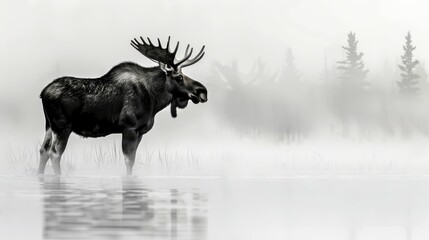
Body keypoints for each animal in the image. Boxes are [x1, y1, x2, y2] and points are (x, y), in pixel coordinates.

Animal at [38, 36, 207, 174]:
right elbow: (129, 161)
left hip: (48, 126)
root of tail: (42, 92)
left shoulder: (140, 131)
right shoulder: (129, 128)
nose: (202, 91)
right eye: (179, 77)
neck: (154, 99)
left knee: (43, 151)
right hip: (62, 127)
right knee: (54, 154)